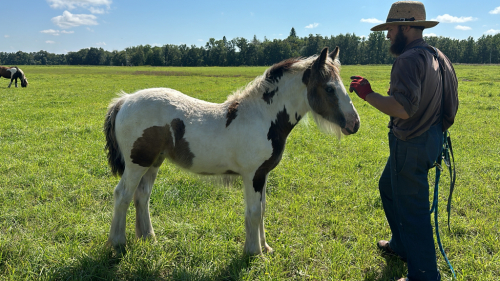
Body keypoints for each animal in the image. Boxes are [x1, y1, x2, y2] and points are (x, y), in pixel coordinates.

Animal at [103, 47, 360, 255]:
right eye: (329, 88)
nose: (354, 123)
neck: (262, 117)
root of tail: (124, 101)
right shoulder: (252, 175)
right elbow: (253, 212)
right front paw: (254, 253)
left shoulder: (263, 174)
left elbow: (262, 210)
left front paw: (266, 247)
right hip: (136, 163)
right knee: (122, 194)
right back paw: (117, 243)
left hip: (153, 162)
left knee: (142, 196)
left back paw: (149, 238)